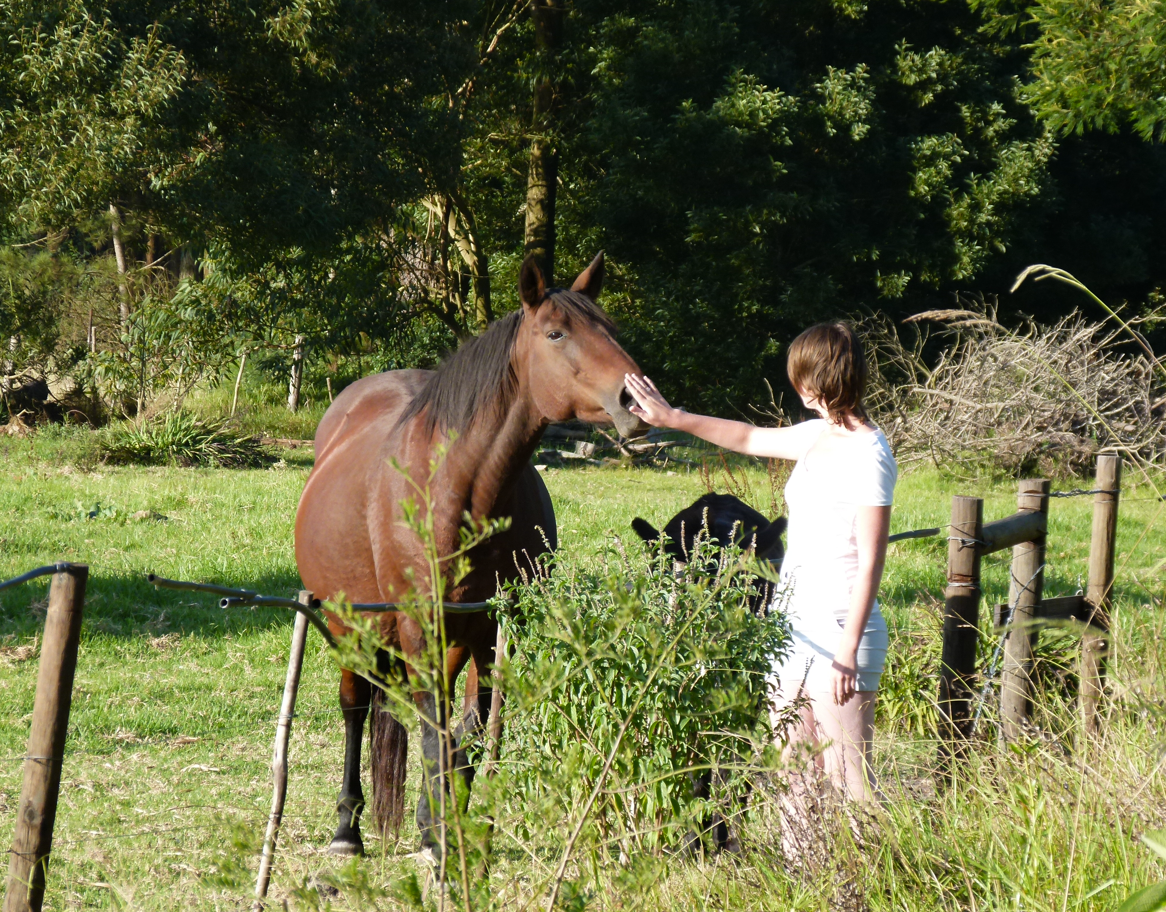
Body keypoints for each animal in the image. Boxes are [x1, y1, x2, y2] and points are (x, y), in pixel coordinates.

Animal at [294, 252, 645, 858]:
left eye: (611, 330)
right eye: (556, 333)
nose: (634, 400)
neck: (460, 489)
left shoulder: (496, 627)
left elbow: (471, 731)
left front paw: (442, 821)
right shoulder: (419, 627)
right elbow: (433, 730)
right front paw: (437, 836)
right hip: (350, 626)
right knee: (355, 706)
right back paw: (346, 830)